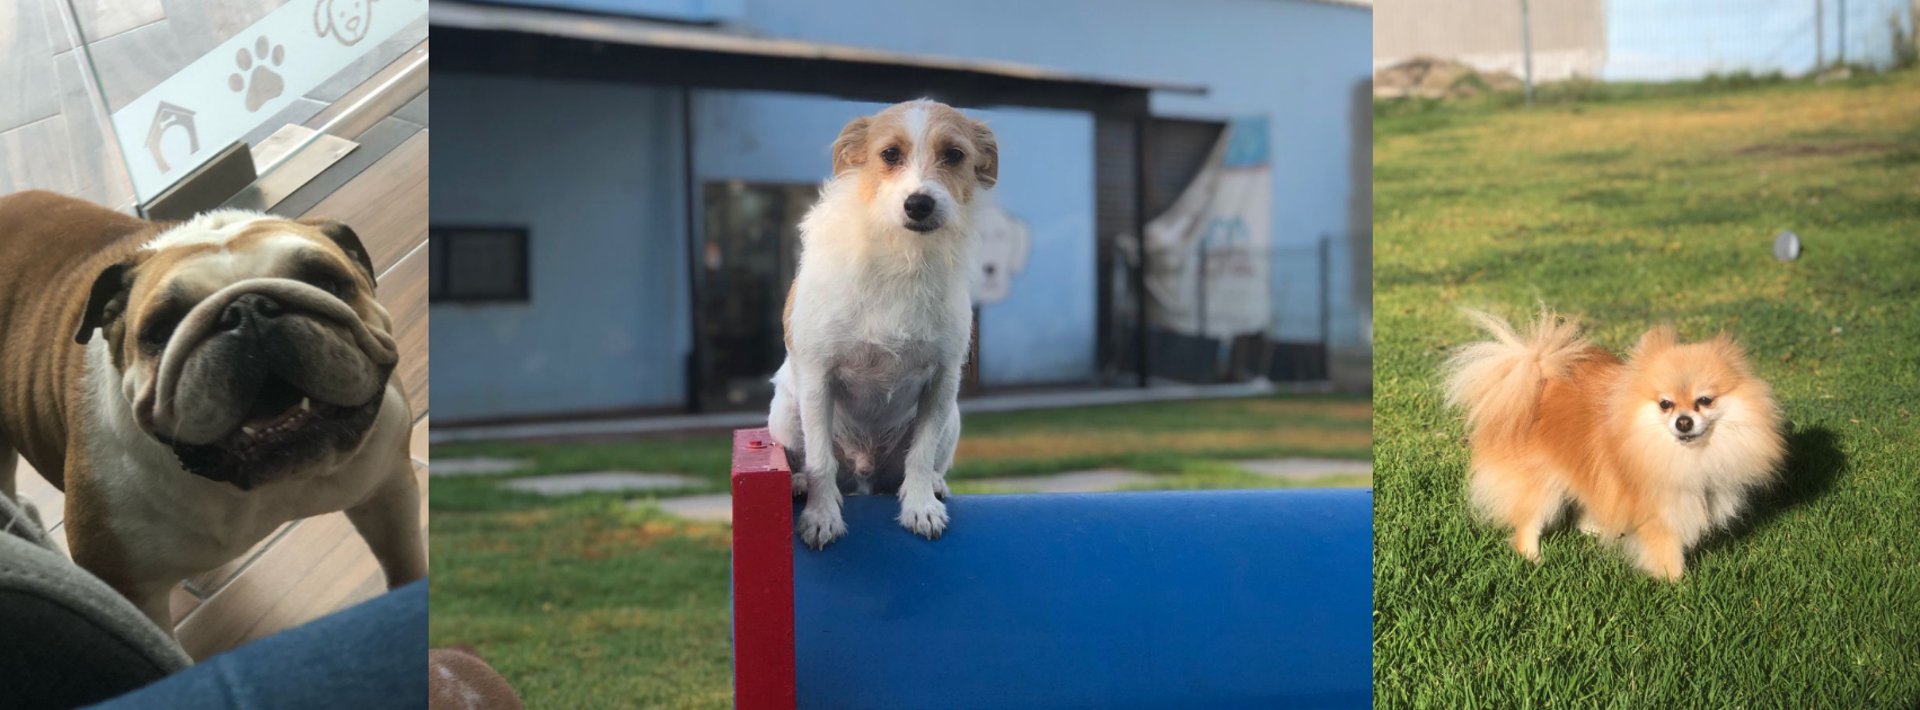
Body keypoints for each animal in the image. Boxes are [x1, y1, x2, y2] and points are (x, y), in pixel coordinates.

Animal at [0, 191, 425, 633]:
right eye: (161, 329)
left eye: (327, 281)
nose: (249, 308)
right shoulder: (131, 588)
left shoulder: (387, 489)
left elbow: (405, 562)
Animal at [768, 100, 998, 549]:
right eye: (890, 154)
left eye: (954, 155)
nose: (919, 204)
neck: (902, 253)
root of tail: (865, 472)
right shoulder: (818, 379)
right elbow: (820, 459)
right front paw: (821, 515)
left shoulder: (942, 381)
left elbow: (921, 455)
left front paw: (921, 505)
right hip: (785, 412)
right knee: (810, 460)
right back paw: (800, 482)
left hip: (951, 418)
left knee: (916, 467)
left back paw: (934, 485)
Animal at [1443, 308, 1785, 580]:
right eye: (1665, 404)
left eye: (1705, 400)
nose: (1684, 422)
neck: (1685, 456)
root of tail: (1536, 371)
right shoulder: (1658, 514)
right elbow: (1667, 552)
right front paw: (1677, 586)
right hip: (1537, 482)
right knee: (1527, 521)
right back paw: (1533, 558)